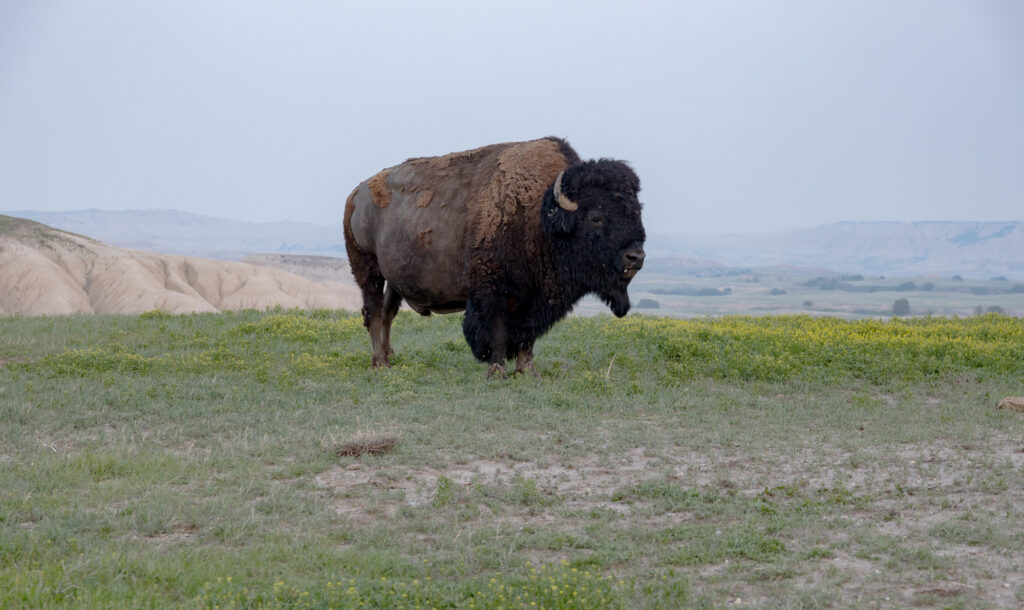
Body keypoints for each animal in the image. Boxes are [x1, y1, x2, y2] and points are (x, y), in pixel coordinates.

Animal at [348, 137, 643, 376]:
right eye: (596, 217)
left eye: (637, 211)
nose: (636, 257)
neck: (541, 216)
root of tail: (358, 192)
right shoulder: (493, 295)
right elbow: (498, 334)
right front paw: (498, 373)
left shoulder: (532, 302)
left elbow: (526, 338)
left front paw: (527, 373)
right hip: (368, 269)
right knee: (373, 313)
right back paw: (380, 364)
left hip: (394, 279)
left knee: (388, 313)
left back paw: (390, 356)